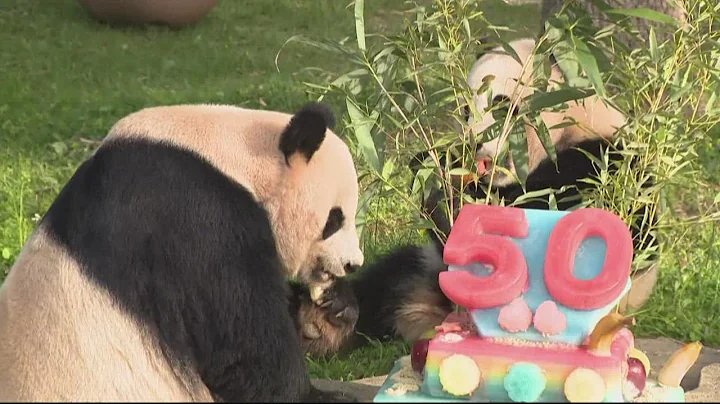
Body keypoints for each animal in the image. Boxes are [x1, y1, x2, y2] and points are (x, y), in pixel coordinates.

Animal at [292, 37, 660, 360]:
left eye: (500, 104)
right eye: (466, 110)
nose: (474, 143)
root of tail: (435, 318)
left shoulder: (605, 163)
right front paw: (437, 171)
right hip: (426, 272)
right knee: (387, 282)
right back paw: (326, 319)